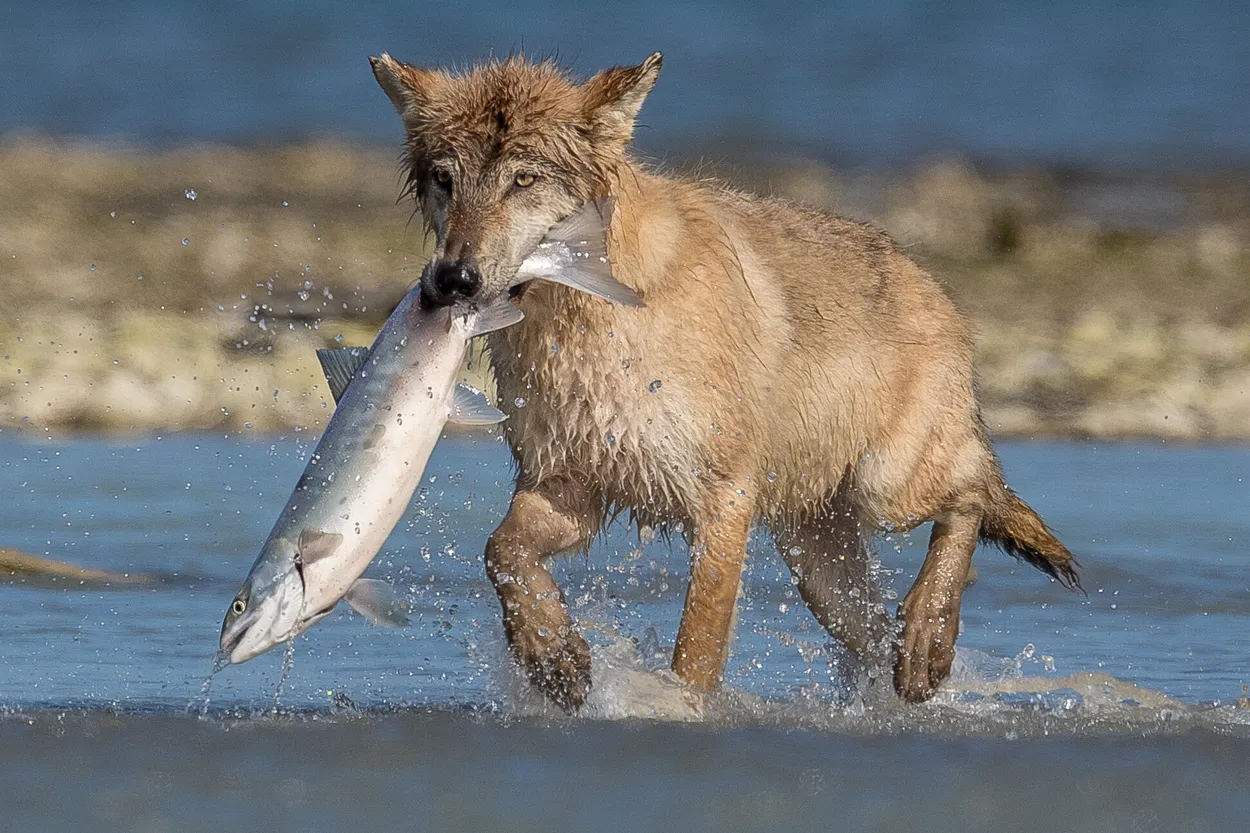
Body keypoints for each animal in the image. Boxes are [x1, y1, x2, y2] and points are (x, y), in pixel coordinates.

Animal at [369, 51, 1080, 710]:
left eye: (523, 180)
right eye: (445, 180)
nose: (453, 280)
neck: (590, 320)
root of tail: (937, 290)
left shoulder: (723, 503)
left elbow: (698, 648)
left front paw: (682, 708)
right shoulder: (571, 485)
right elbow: (502, 552)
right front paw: (552, 656)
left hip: (888, 487)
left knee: (974, 490)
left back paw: (928, 639)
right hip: (819, 569)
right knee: (875, 629)